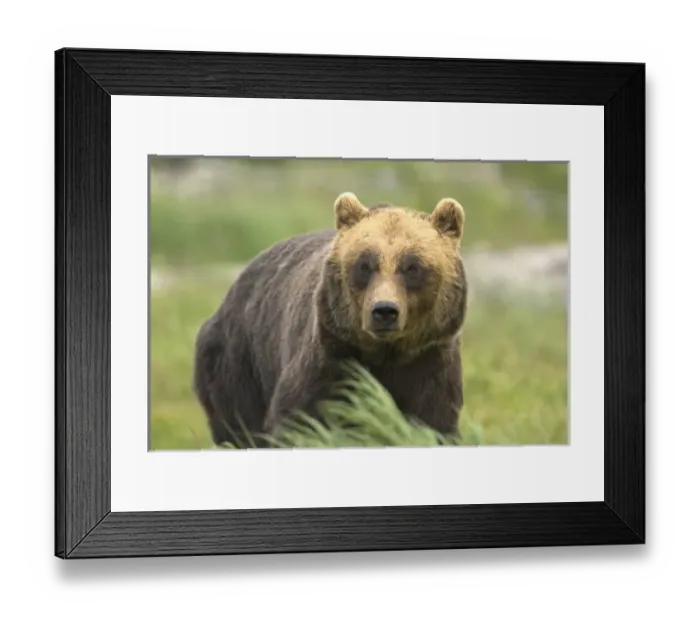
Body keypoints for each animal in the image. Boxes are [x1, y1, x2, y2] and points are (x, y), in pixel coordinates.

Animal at [193, 192, 468, 448]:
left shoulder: (429, 361)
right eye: (365, 265)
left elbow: (433, 422)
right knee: (239, 426)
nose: (384, 311)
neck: (387, 353)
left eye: (412, 267)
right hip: (238, 361)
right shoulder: (332, 355)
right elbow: (300, 417)